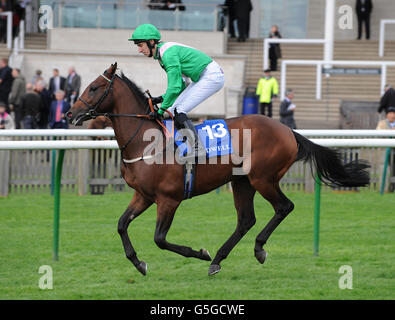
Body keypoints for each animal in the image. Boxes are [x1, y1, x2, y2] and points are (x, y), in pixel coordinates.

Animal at [67, 63, 372, 276]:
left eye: (94, 87)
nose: (70, 113)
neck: (145, 141)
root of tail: (288, 130)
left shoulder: (169, 199)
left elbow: (160, 239)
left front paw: (200, 252)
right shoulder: (143, 195)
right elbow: (121, 225)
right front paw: (138, 262)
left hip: (263, 178)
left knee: (284, 207)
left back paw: (255, 249)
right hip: (242, 182)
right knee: (246, 220)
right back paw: (218, 260)